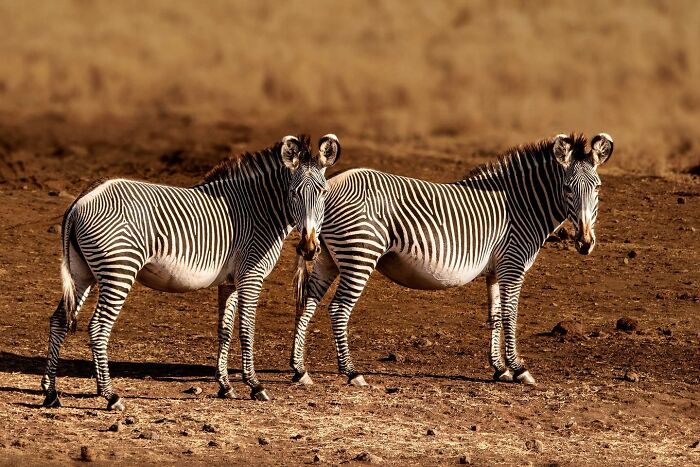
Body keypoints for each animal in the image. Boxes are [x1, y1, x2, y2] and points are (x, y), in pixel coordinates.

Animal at [41, 134, 341, 410]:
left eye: (324, 193)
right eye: (293, 193)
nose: (309, 248)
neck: (260, 210)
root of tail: (80, 201)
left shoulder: (230, 282)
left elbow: (225, 330)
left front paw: (225, 386)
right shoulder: (251, 275)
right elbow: (246, 329)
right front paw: (255, 385)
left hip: (83, 273)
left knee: (59, 320)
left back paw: (50, 392)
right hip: (119, 270)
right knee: (98, 327)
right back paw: (110, 395)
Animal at [289, 133, 613, 387]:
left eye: (597, 188)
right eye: (568, 188)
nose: (585, 243)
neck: (523, 206)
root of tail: (329, 183)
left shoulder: (495, 271)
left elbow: (495, 317)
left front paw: (500, 369)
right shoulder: (513, 265)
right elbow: (511, 316)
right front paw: (519, 369)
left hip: (327, 257)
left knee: (308, 303)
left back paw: (299, 370)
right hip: (360, 253)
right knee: (338, 309)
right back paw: (351, 372)